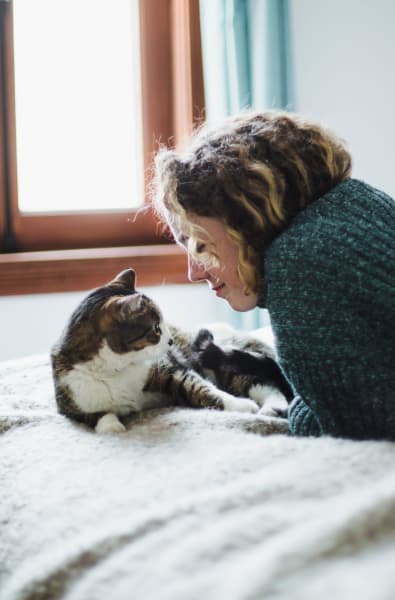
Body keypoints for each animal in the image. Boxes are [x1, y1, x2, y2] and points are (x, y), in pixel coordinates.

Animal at [51, 268, 292, 432]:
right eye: (156, 328)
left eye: (163, 324)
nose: (170, 341)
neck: (116, 369)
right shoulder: (71, 401)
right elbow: (96, 416)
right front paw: (112, 427)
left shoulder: (167, 370)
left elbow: (200, 388)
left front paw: (240, 405)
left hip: (220, 361)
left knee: (262, 383)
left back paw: (271, 408)